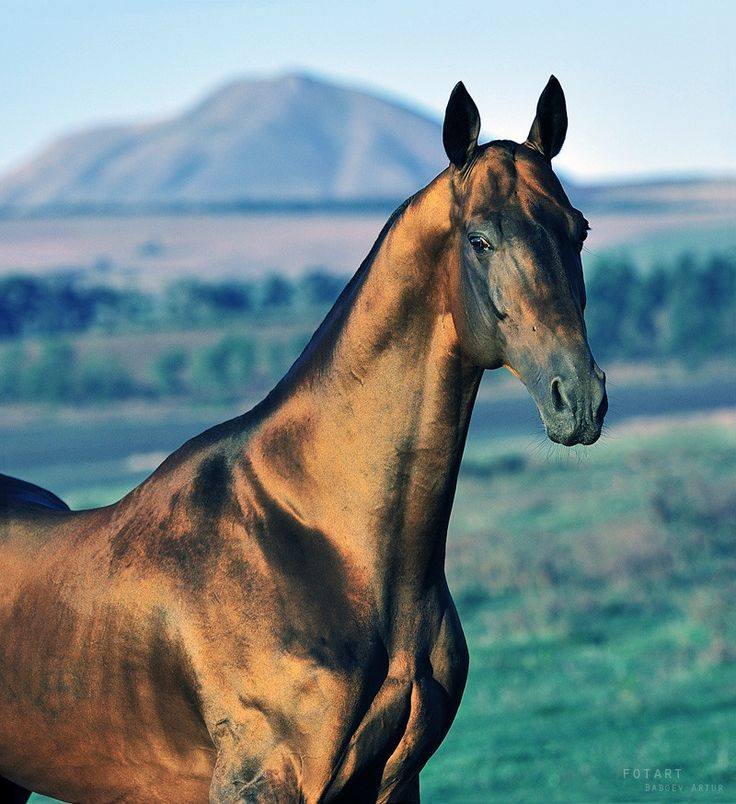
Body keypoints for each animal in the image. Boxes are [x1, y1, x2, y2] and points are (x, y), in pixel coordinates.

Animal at [0, 77, 608, 804]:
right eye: (479, 238)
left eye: (578, 230)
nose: (579, 398)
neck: (323, 538)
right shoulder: (262, 784)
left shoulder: (395, 783)